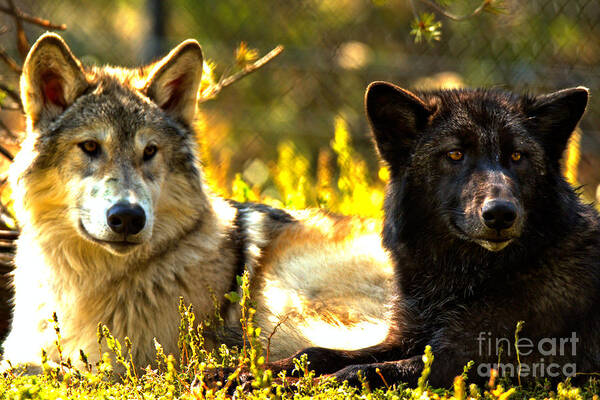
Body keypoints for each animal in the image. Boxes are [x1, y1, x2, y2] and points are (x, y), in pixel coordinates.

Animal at [0, 33, 394, 372]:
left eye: (150, 152)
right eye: (90, 147)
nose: (128, 217)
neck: (86, 280)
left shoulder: (115, 363)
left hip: (288, 292)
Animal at [258, 82, 600, 388]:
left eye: (517, 156)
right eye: (455, 154)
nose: (501, 213)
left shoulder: (463, 357)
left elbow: (358, 371)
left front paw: (287, 385)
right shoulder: (406, 338)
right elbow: (318, 353)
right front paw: (259, 371)